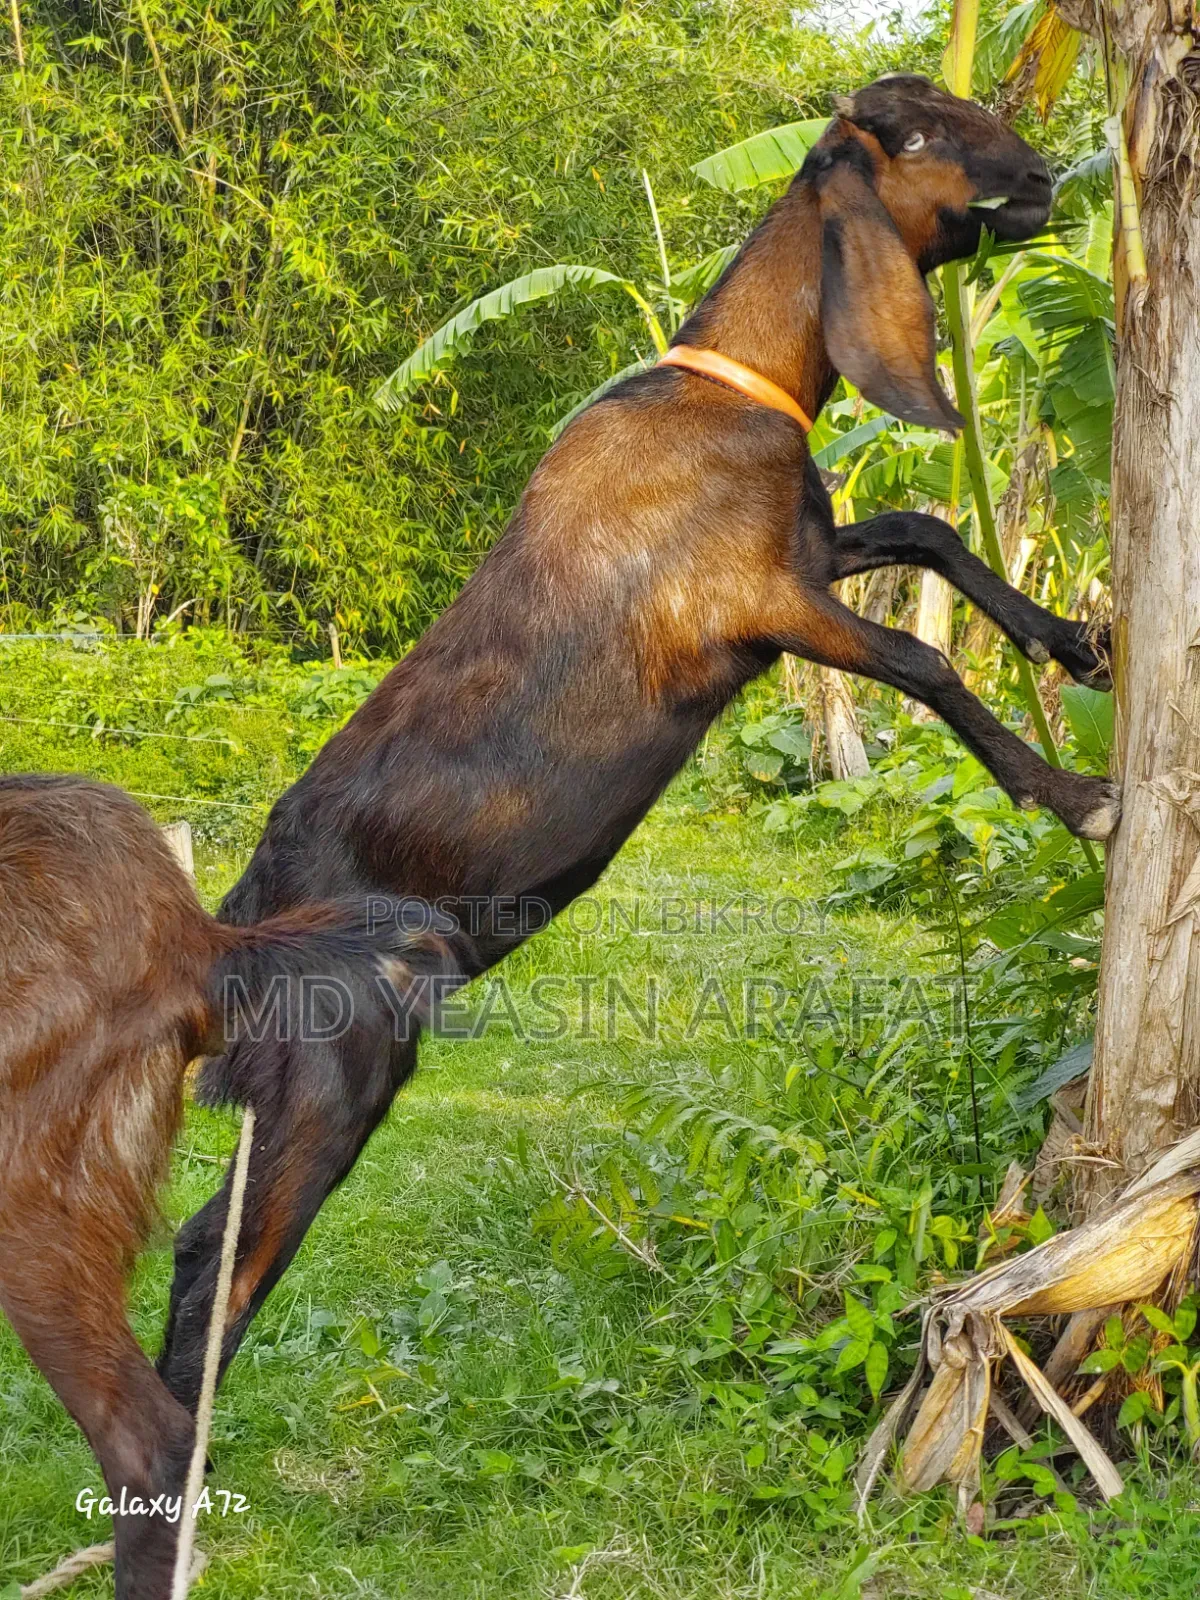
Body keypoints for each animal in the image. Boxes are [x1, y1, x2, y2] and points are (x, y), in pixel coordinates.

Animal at [157, 75, 1117, 1412]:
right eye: (919, 138)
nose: (1040, 182)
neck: (737, 389)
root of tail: (236, 916)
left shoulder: (807, 557)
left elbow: (928, 529)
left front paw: (1074, 641)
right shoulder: (757, 602)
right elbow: (924, 664)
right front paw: (1078, 794)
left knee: (213, 1243)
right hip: (333, 1064)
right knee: (222, 1257)